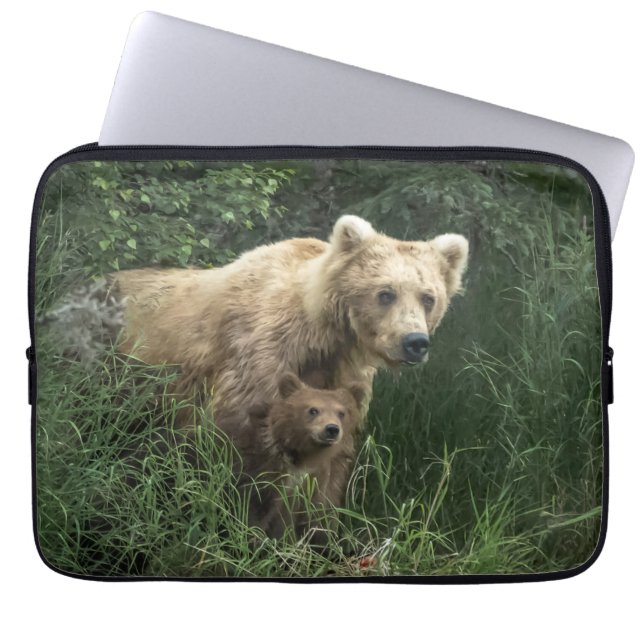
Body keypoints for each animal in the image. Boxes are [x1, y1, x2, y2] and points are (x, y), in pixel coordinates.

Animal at [109, 214, 468, 424]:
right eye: (386, 293)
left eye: (428, 297)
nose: (414, 342)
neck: (323, 334)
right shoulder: (259, 358)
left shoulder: (339, 372)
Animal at [219, 372, 365, 541]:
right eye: (313, 410)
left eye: (341, 413)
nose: (332, 429)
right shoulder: (260, 470)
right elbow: (253, 510)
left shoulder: (311, 483)